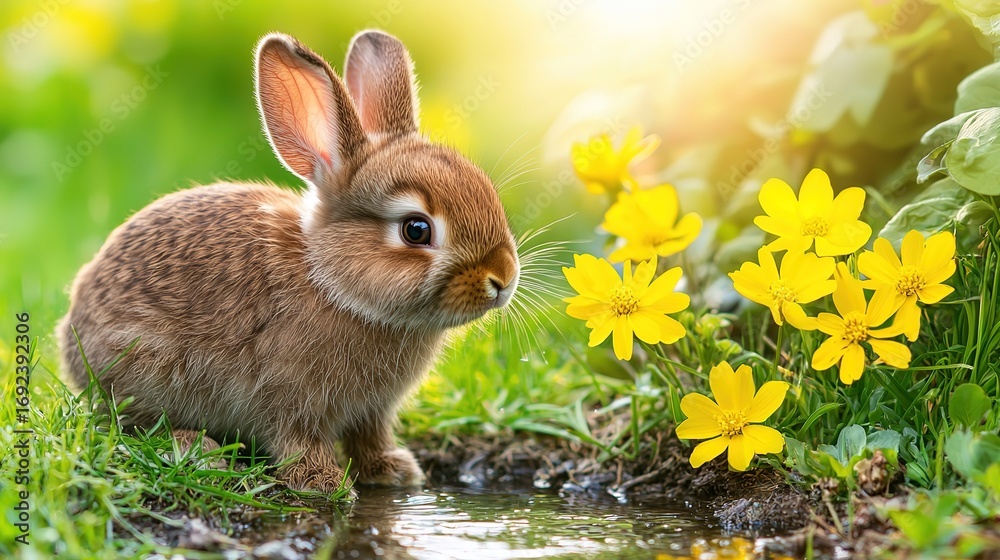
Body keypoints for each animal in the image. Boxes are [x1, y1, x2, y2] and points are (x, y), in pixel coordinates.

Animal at [57, 30, 520, 492]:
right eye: (416, 230)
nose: (502, 279)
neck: (333, 284)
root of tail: (71, 333)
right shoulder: (290, 396)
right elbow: (297, 438)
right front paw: (323, 482)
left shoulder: (373, 411)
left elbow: (370, 438)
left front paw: (392, 471)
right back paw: (201, 450)